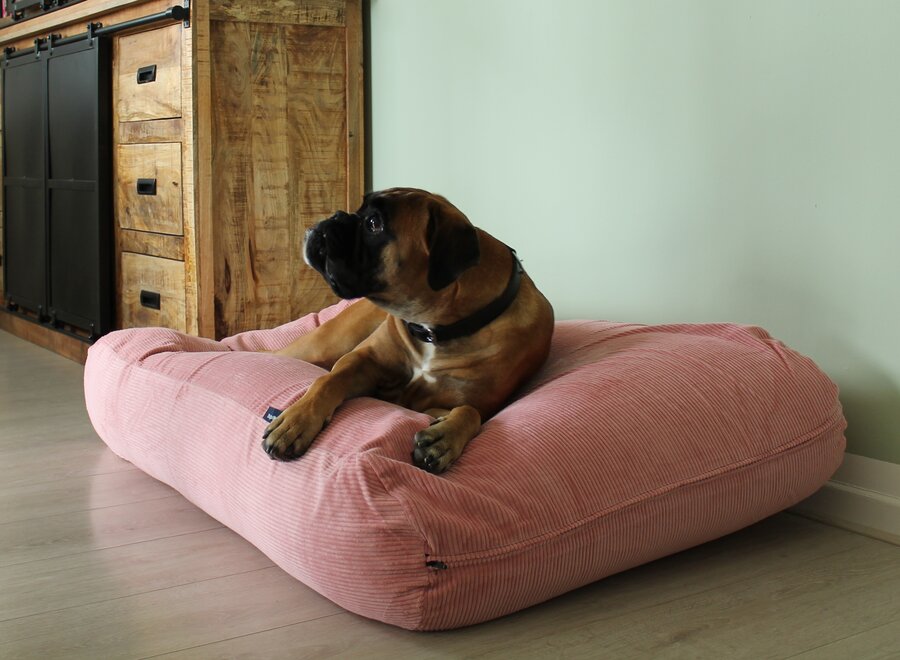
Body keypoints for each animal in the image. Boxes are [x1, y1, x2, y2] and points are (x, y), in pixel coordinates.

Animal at [262, 188, 556, 472]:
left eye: (373, 224)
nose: (336, 215)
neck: (433, 328)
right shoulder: (361, 362)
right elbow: (327, 381)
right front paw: (297, 420)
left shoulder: (460, 405)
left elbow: (470, 412)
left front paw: (445, 439)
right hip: (323, 346)